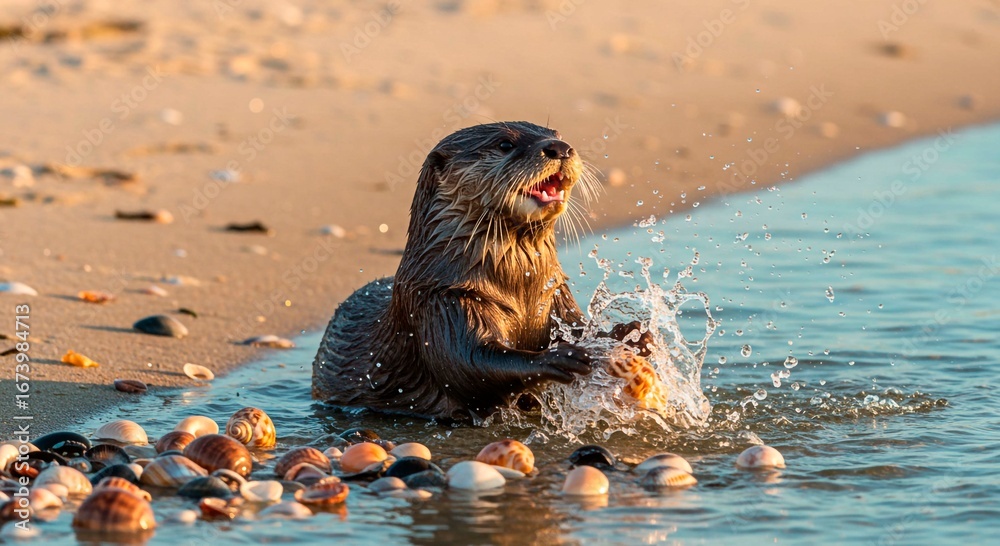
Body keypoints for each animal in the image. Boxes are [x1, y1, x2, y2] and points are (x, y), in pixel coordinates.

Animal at [313, 121, 606, 421]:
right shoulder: (440, 302)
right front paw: (558, 357)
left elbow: (579, 326)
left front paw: (618, 334)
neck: (520, 289)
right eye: (505, 144)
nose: (560, 147)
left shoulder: (556, 292)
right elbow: (469, 363)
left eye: (557, 134)